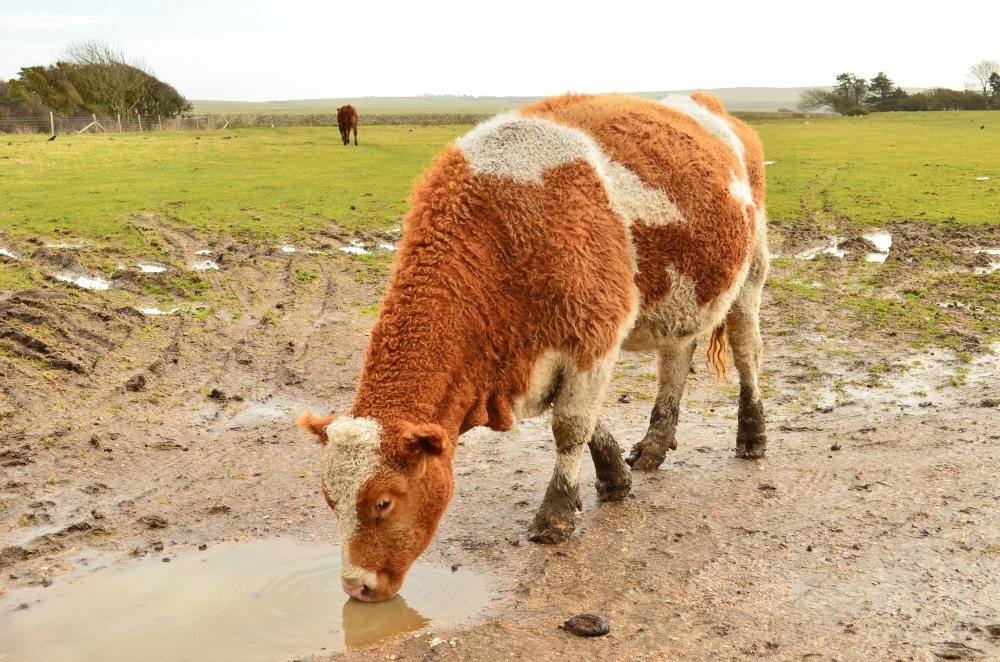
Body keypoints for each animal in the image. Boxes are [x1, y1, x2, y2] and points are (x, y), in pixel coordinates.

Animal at [299, 92, 769, 602]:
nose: (356, 585)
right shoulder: (545, 351)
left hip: (751, 272)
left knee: (747, 350)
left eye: (383, 501)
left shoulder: (593, 334)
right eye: (329, 497)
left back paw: (752, 436)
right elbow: (588, 420)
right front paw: (615, 478)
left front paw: (556, 514)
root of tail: (711, 107)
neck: (504, 230)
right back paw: (654, 446)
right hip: (681, 301)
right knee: (674, 361)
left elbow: (570, 425)